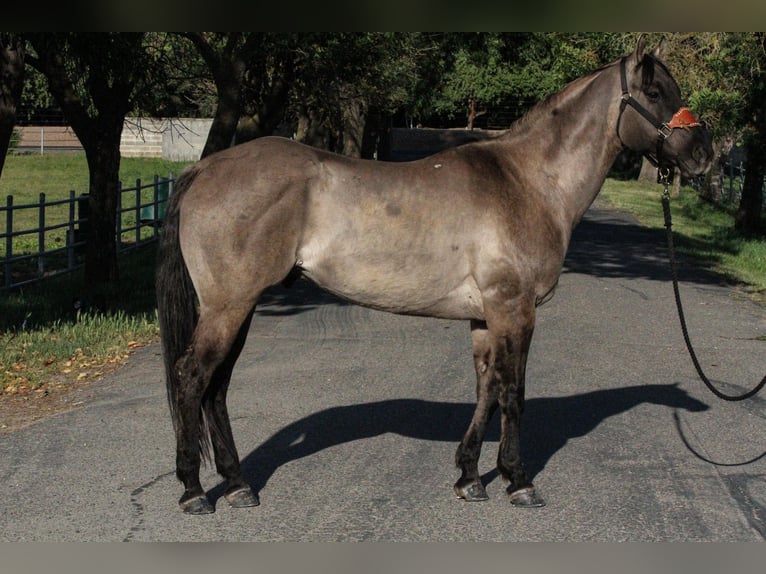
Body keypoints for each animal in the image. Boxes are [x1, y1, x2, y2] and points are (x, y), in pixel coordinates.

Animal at [154, 33, 712, 516]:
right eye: (656, 92)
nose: (702, 156)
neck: (529, 181)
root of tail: (204, 169)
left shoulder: (487, 317)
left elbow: (487, 389)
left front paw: (469, 477)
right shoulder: (515, 310)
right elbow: (513, 392)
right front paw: (518, 481)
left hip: (239, 307)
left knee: (216, 387)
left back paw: (237, 485)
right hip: (229, 307)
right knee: (191, 378)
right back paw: (193, 491)